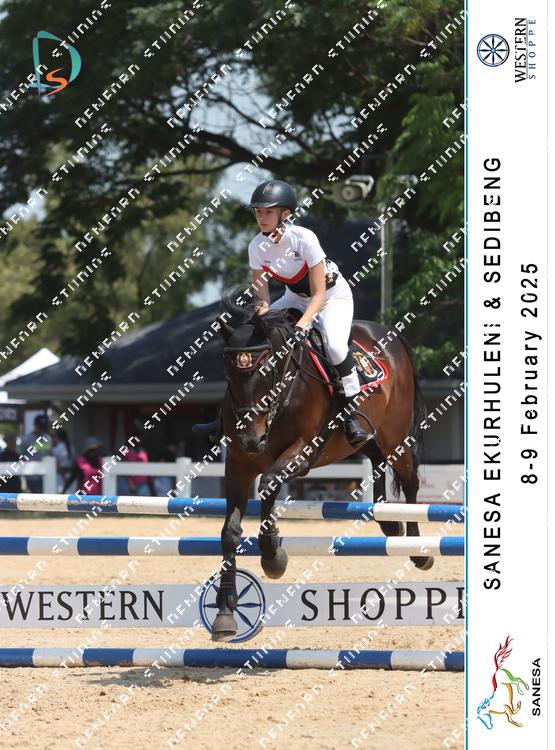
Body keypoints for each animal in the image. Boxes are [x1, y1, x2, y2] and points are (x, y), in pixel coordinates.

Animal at [212, 290, 429, 641]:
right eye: (229, 374)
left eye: (268, 370)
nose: (251, 439)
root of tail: (389, 336)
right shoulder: (238, 465)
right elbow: (230, 532)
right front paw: (224, 614)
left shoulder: (302, 453)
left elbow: (269, 484)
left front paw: (273, 556)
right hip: (369, 437)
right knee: (376, 459)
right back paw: (388, 523)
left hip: (395, 436)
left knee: (409, 479)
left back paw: (416, 547)